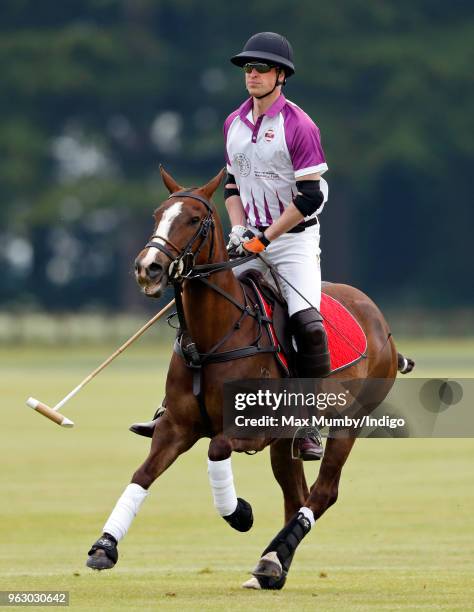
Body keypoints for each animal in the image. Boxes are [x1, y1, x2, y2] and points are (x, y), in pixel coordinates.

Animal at [87, 167, 412, 588]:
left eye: (195, 219)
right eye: (157, 214)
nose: (148, 268)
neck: (213, 338)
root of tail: (379, 319)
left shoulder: (252, 427)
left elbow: (216, 448)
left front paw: (238, 512)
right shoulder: (176, 426)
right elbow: (143, 474)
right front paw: (104, 547)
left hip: (348, 422)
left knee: (323, 492)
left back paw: (273, 557)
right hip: (286, 442)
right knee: (297, 494)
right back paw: (273, 565)